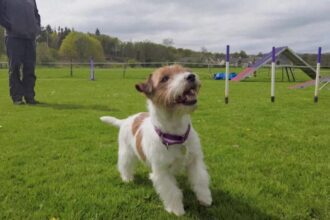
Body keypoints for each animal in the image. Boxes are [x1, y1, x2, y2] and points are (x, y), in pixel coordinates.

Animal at [100, 64, 211, 216]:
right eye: (164, 78)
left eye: (185, 70)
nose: (191, 76)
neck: (176, 134)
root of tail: (126, 120)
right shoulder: (162, 172)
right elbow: (172, 191)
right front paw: (177, 210)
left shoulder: (195, 161)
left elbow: (201, 179)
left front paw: (205, 198)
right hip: (126, 153)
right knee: (124, 165)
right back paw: (127, 178)